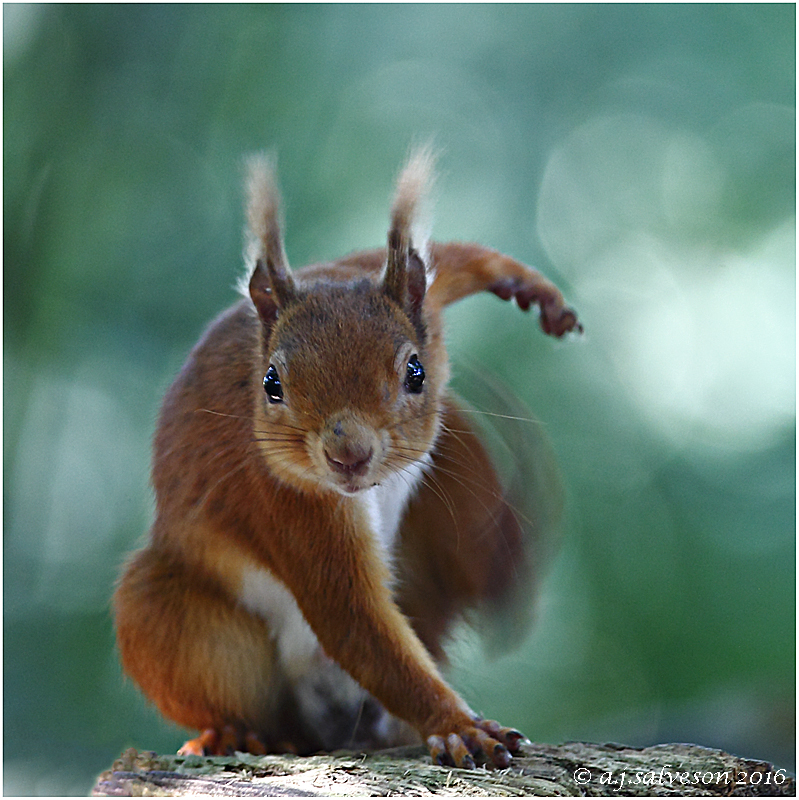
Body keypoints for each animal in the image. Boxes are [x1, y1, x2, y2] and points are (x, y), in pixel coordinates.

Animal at [114, 145, 580, 768]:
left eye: (416, 372)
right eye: (271, 383)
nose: (348, 454)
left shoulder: (403, 292)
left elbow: (450, 260)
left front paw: (527, 285)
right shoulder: (288, 503)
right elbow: (355, 623)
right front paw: (459, 725)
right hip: (170, 618)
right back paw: (234, 733)